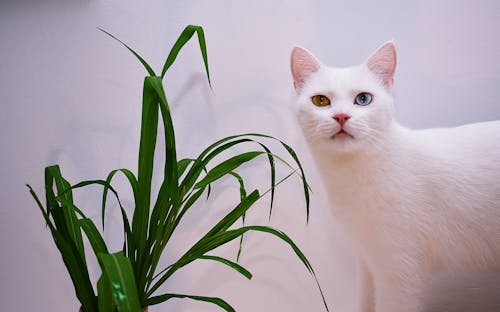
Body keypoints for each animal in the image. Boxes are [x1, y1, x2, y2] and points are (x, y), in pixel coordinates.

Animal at [290, 42, 500, 312]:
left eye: (363, 99)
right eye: (320, 100)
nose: (341, 116)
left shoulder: (398, 270)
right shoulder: (367, 260)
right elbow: (364, 302)